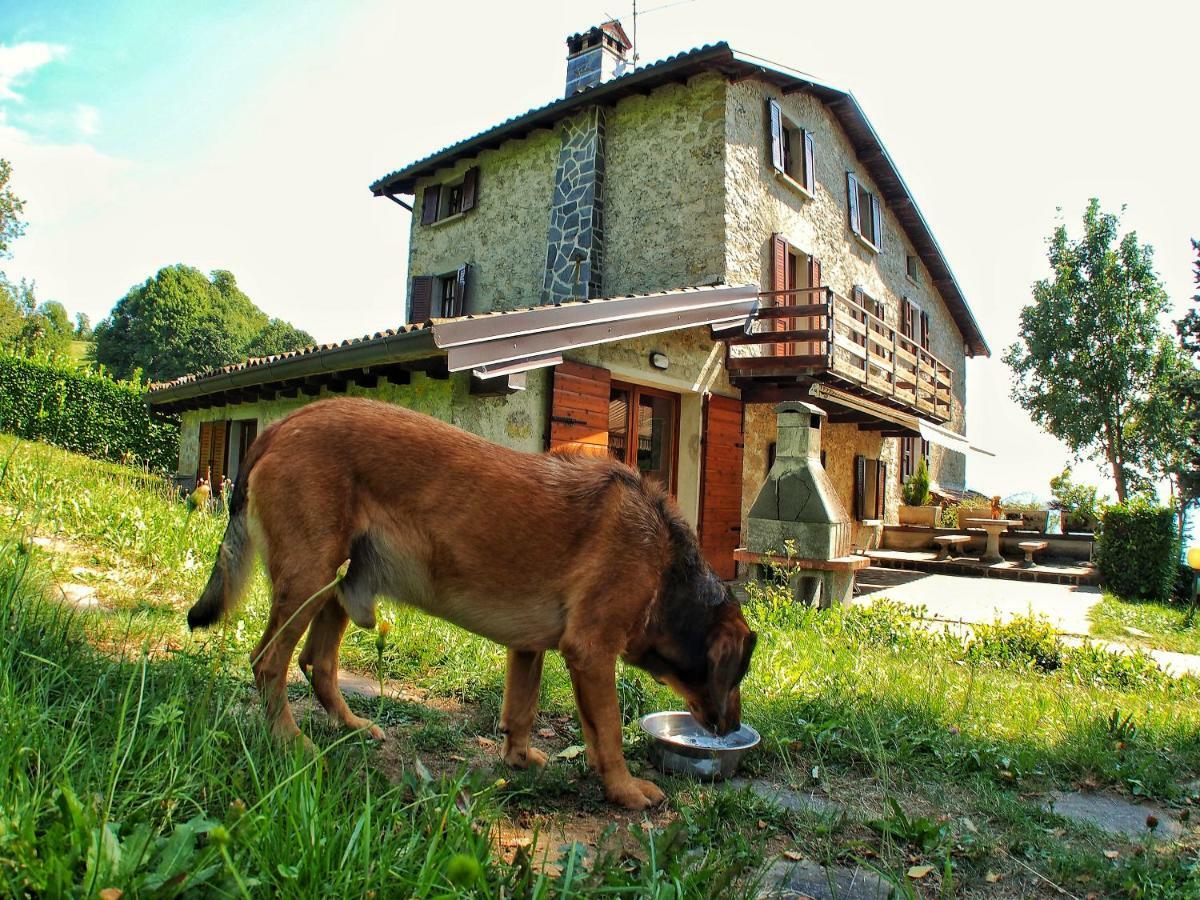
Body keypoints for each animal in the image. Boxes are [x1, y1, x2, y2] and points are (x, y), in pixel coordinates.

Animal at [188, 398, 753, 806]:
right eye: (737, 676)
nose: (730, 730)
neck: (668, 568)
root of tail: (282, 425)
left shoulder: (529, 648)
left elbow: (522, 709)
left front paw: (519, 759)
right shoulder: (591, 654)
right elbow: (609, 733)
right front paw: (625, 791)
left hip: (339, 581)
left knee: (316, 661)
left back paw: (350, 727)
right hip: (308, 577)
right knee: (269, 662)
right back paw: (289, 742)